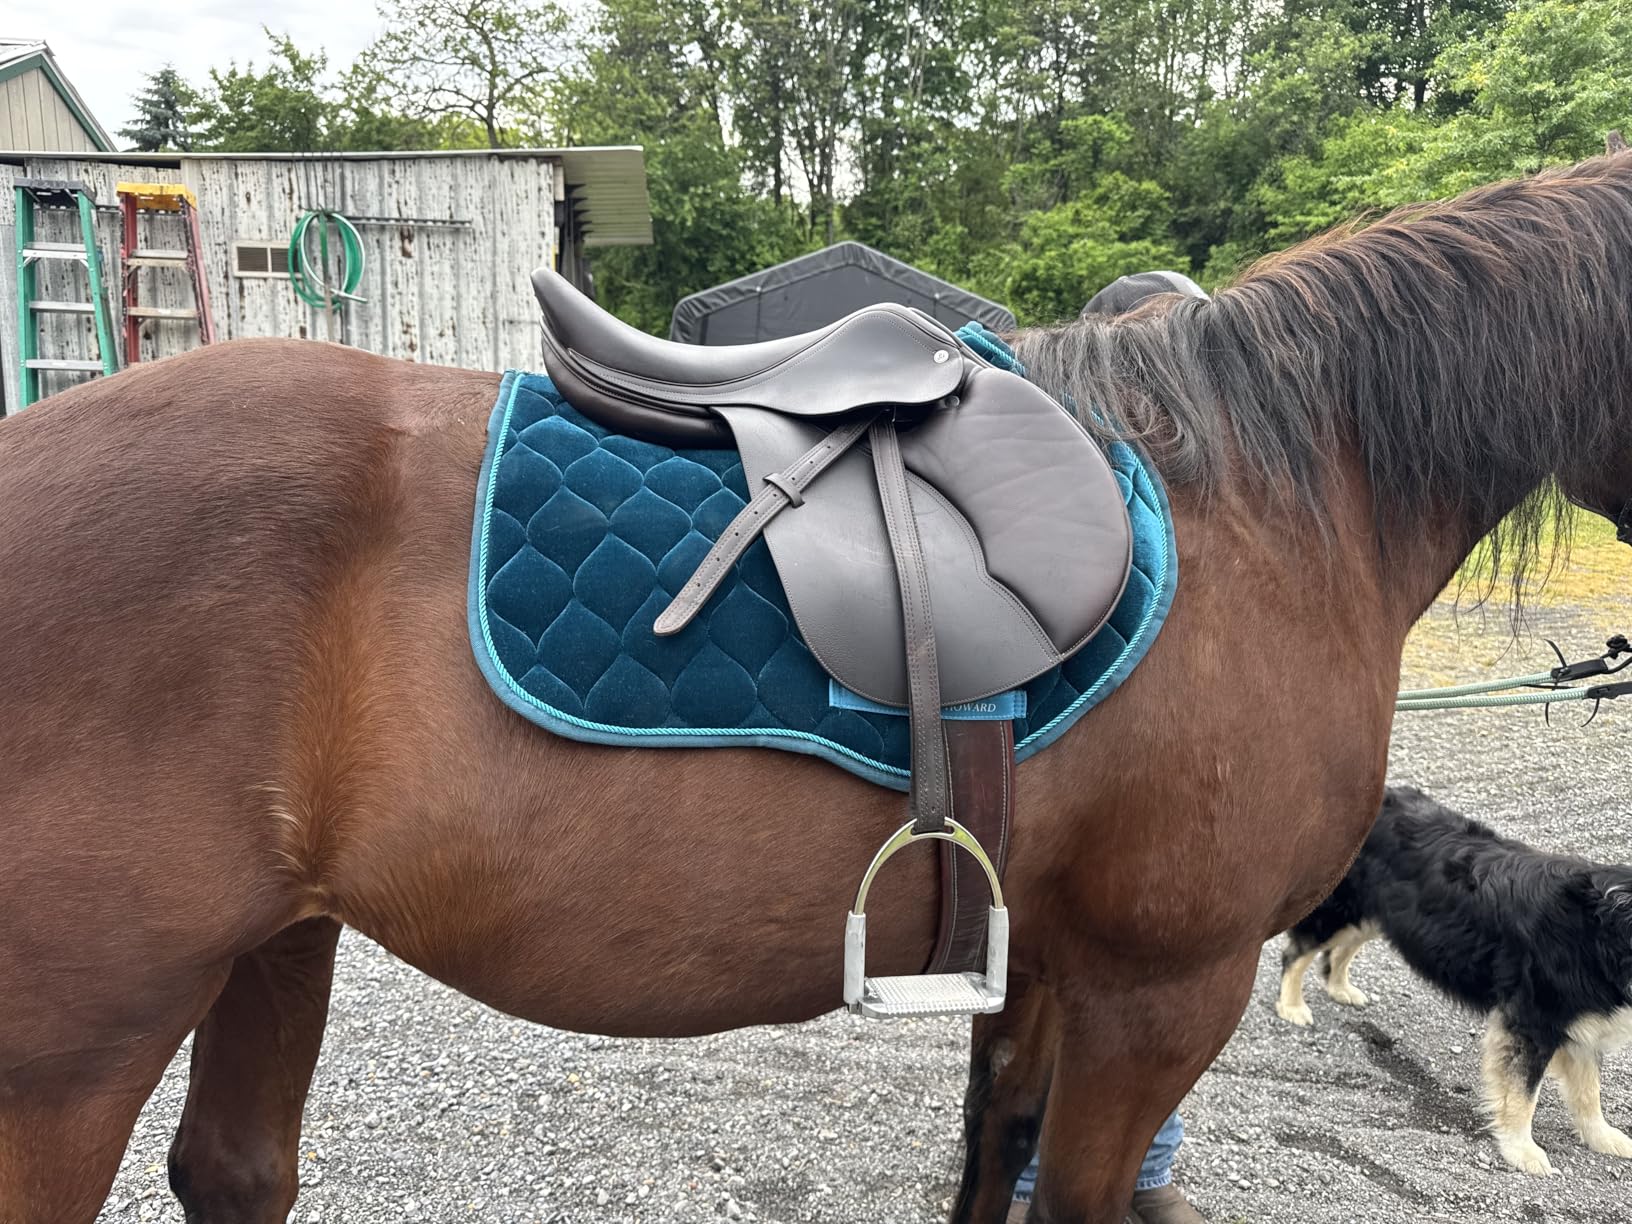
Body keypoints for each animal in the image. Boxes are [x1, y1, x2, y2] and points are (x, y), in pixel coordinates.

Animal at [3, 153, 1631, 1224]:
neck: (1273, 498)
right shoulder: (1165, 988)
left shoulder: (1042, 963)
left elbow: (992, 1154)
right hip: (81, 1048)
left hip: (274, 946)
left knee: (235, 1174)